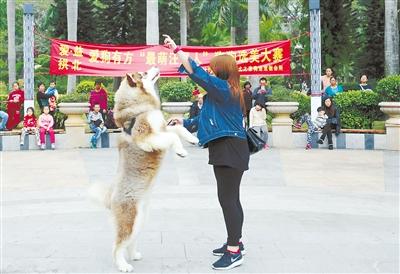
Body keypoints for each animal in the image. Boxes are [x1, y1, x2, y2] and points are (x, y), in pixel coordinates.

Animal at [90, 67, 198, 272]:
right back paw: (123, 265)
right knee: (117, 246)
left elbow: (177, 130)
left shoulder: (162, 129)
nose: (155, 67)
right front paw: (180, 151)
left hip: (140, 221)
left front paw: (192, 138)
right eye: (144, 73)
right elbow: (173, 137)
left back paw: (134, 255)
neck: (140, 108)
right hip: (130, 221)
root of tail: (111, 199)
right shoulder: (147, 138)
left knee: (130, 242)